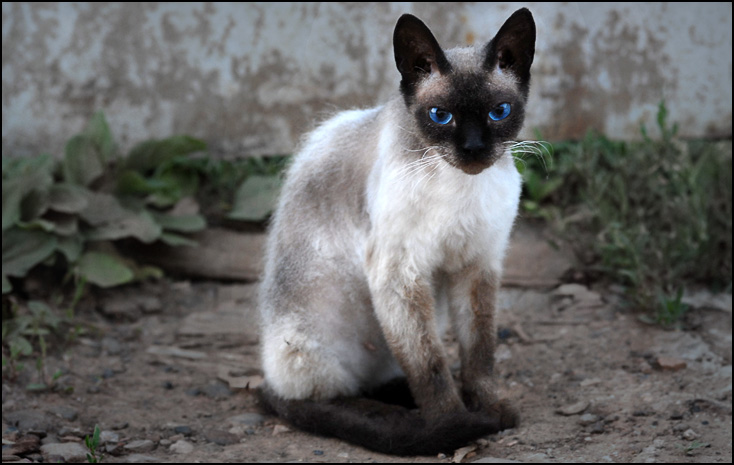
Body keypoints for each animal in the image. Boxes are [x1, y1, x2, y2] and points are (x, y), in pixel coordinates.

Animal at [260, 9, 540, 454]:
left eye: (499, 111)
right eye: (441, 115)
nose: (474, 150)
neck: (460, 188)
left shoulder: (478, 265)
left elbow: (479, 354)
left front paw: (489, 409)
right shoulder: (398, 272)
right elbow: (430, 366)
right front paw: (455, 422)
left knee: (384, 378)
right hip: (308, 350)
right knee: (327, 396)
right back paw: (411, 421)